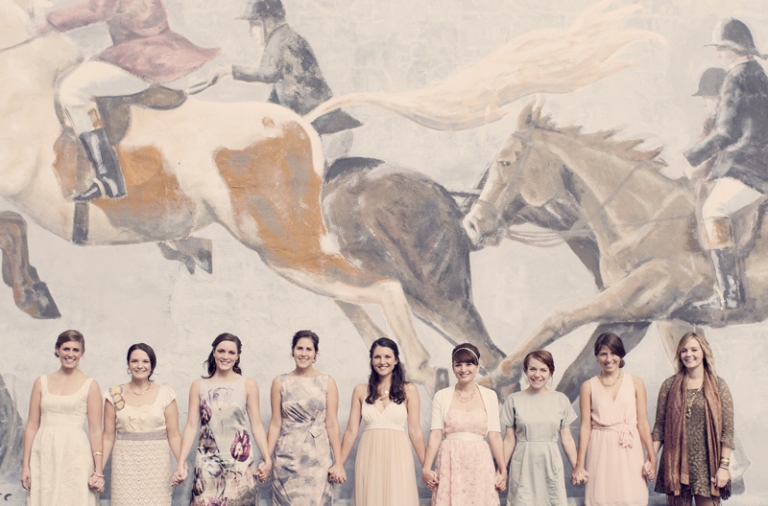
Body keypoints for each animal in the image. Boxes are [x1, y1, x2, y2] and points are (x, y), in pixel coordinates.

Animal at [463, 101, 768, 394]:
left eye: (504, 161)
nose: (472, 224)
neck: (647, 217)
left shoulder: (651, 289)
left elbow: (560, 318)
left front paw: (498, 376)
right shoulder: (645, 316)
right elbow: (575, 375)